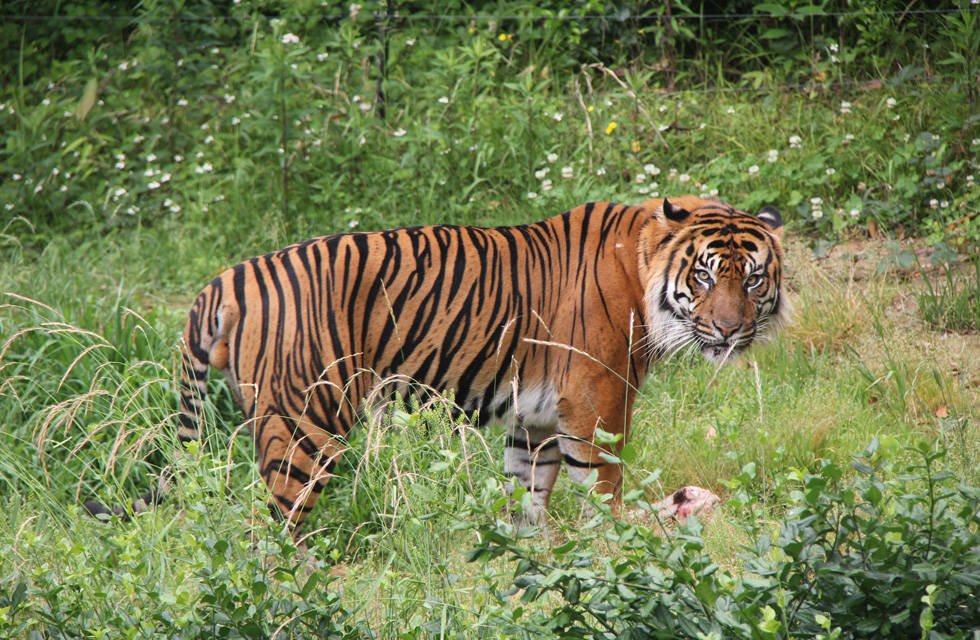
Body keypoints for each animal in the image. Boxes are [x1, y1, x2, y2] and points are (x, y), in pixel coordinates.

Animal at [86, 195, 788, 528]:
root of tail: (225, 278)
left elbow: (528, 493)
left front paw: (528, 559)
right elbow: (605, 487)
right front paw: (620, 549)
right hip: (306, 419)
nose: (731, 331)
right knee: (277, 527)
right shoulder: (596, 399)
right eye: (705, 276)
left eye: (752, 279)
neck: (644, 270)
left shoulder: (534, 416)